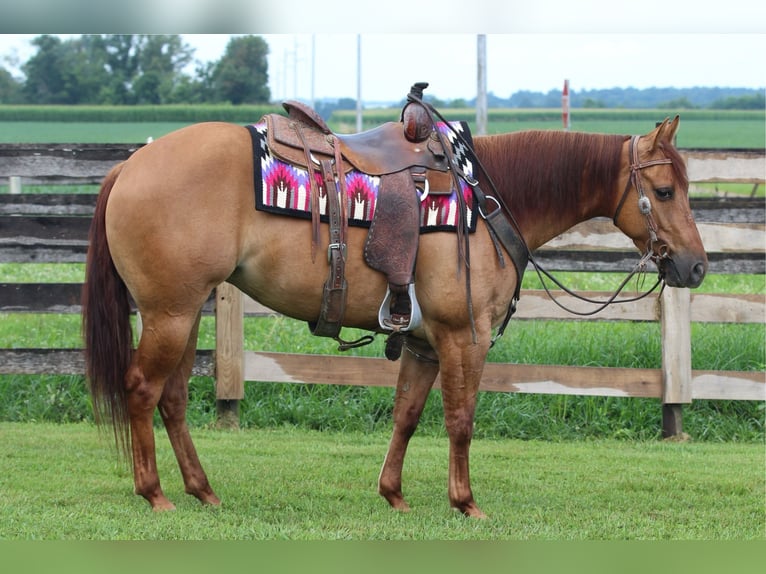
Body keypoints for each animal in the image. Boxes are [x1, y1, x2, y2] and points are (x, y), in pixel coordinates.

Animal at [82, 113, 707, 518]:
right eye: (665, 190)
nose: (697, 267)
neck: (486, 201)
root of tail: (130, 167)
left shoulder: (424, 343)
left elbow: (406, 415)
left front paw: (394, 495)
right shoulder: (463, 338)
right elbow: (460, 420)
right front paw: (465, 502)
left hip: (187, 311)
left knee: (172, 397)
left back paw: (202, 490)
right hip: (170, 312)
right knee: (142, 389)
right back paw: (154, 493)